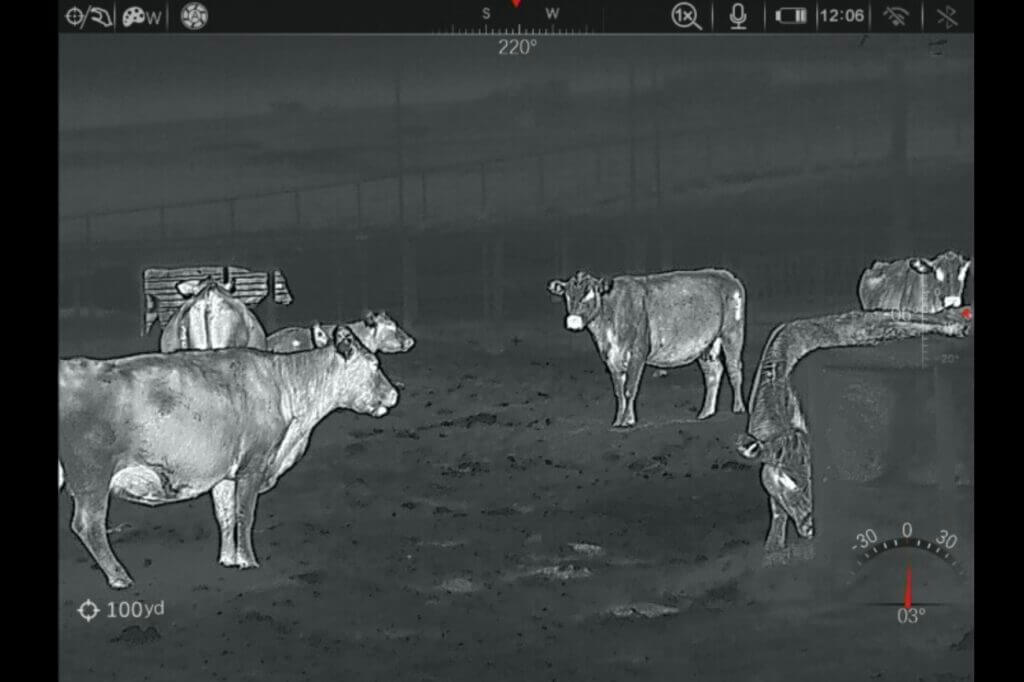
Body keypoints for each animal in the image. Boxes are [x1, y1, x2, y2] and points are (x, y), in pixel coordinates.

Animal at [58, 327, 399, 589]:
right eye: (373, 364)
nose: (394, 394)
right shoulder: (254, 464)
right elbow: (244, 515)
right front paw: (248, 560)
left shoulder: (224, 472)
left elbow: (225, 514)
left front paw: (228, 558)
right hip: (91, 476)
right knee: (88, 525)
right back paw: (119, 577)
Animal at [546, 269, 747, 428]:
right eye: (567, 295)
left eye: (589, 295)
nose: (573, 321)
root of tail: (727, 276)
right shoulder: (612, 357)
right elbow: (619, 392)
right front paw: (618, 421)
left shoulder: (638, 352)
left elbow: (629, 389)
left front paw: (627, 421)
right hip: (706, 344)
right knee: (713, 372)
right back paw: (706, 413)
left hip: (732, 332)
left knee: (734, 369)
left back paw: (738, 409)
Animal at [736, 307, 973, 553]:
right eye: (790, 481)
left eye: (813, 476)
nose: (811, 526)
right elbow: (776, 506)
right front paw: (774, 543)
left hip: (878, 326)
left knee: (907, 318)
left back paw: (956, 322)